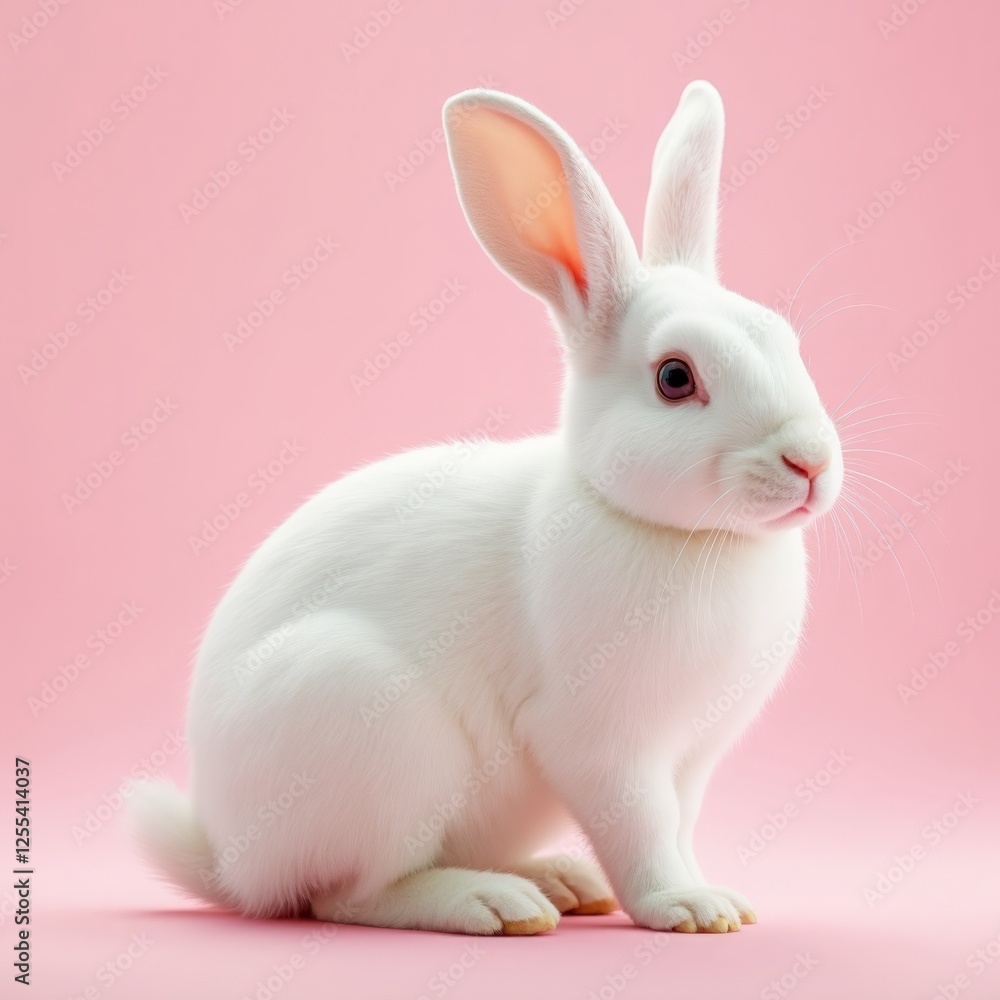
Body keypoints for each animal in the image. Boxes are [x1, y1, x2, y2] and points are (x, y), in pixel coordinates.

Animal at [131, 80, 843, 936]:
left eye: (788, 342)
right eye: (676, 378)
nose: (811, 462)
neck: (685, 533)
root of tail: (228, 863)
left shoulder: (693, 756)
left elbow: (679, 825)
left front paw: (718, 899)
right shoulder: (599, 744)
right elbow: (642, 832)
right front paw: (687, 907)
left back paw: (560, 882)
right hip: (371, 726)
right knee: (349, 894)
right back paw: (495, 903)